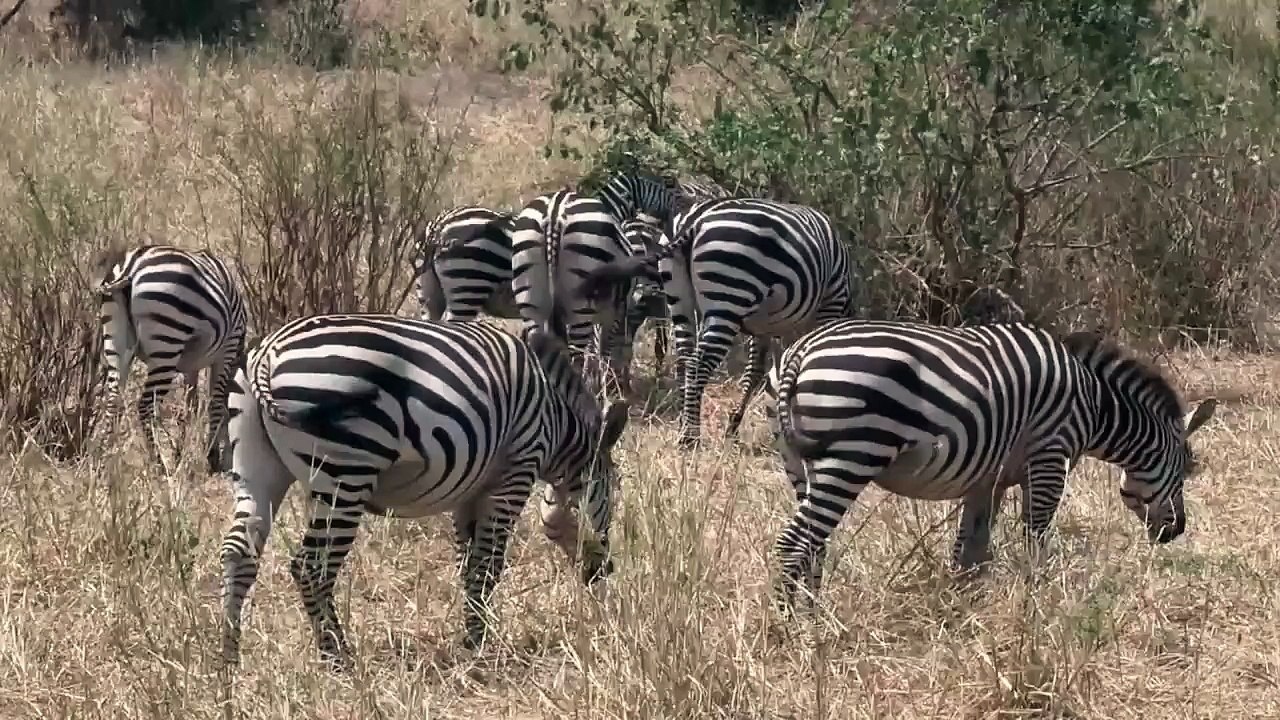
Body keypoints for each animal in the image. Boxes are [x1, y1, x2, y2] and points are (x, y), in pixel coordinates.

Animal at [95, 244, 249, 473]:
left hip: (115, 344)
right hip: (167, 342)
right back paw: (158, 464)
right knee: (145, 407)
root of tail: (130, 266)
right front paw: (212, 457)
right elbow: (216, 403)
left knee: (113, 402)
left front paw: (182, 452)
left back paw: (102, 462)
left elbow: (192, 404)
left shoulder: (191, 365)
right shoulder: (226, 351)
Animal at [218, 307, 633, 669]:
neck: (555, 419)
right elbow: (488, 565)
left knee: (239, 554)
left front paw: (472, 636)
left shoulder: (471, 488)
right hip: (346, 473)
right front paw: (478, 646)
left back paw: (229, 657)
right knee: (312, 567)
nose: (606, 570)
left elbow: (470, 565)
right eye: (612, 493)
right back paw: (338, 657)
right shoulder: (517, 470)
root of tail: (267, 354)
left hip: (257, 470)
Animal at [580, 197, 855, 447]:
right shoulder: (829, 306)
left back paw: (684, 421)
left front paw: (734, 424)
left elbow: (757, 372)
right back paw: (690, 437)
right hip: (729, 293)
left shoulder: (762, 326)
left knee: (684, 359)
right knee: (697, 364)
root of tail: (693, 220)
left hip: (679, 296)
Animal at [765, 319, 1217, 613]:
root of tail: (801, 350)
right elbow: (1034, 539)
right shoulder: (1049, 457)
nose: (1176, 531)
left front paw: (964, 607)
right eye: (1187, 471)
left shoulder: (988, 477)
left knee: (813, 544)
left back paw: (814, 616)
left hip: (799, 464)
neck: (1094, 404)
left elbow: (972, 549)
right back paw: (788, 628)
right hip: (852, 455)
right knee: (793, 544)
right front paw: (1034, 606)